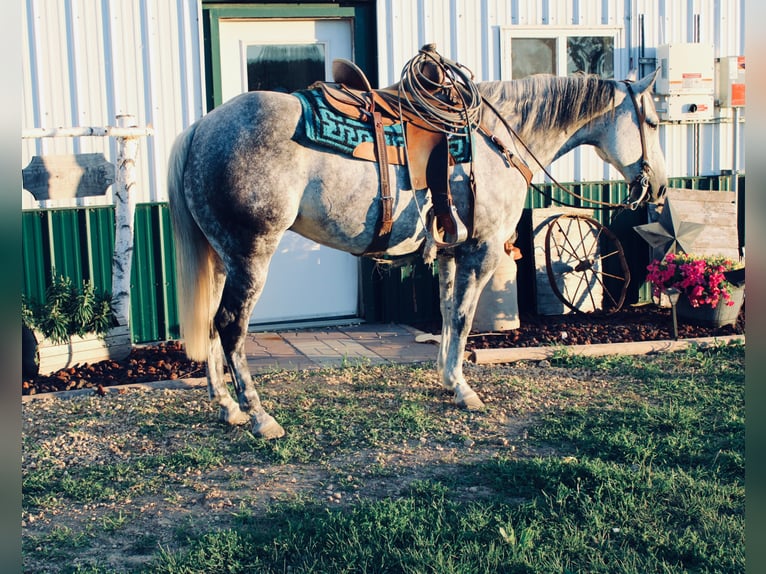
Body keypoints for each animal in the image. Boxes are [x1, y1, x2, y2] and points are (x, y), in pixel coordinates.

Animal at [168, 70, 664, 438]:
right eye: (655, 123)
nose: (657, 188)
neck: (500, 140)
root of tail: (200, 128)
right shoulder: (481, 251)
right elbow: (463, 318)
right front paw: (463, 389)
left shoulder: (450, 252)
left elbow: (446, 314)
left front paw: (447, 380)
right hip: (251, 255)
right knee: (231, 325)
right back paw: (258, 416)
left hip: (222, 259)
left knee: (211, 323)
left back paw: (226, 407)